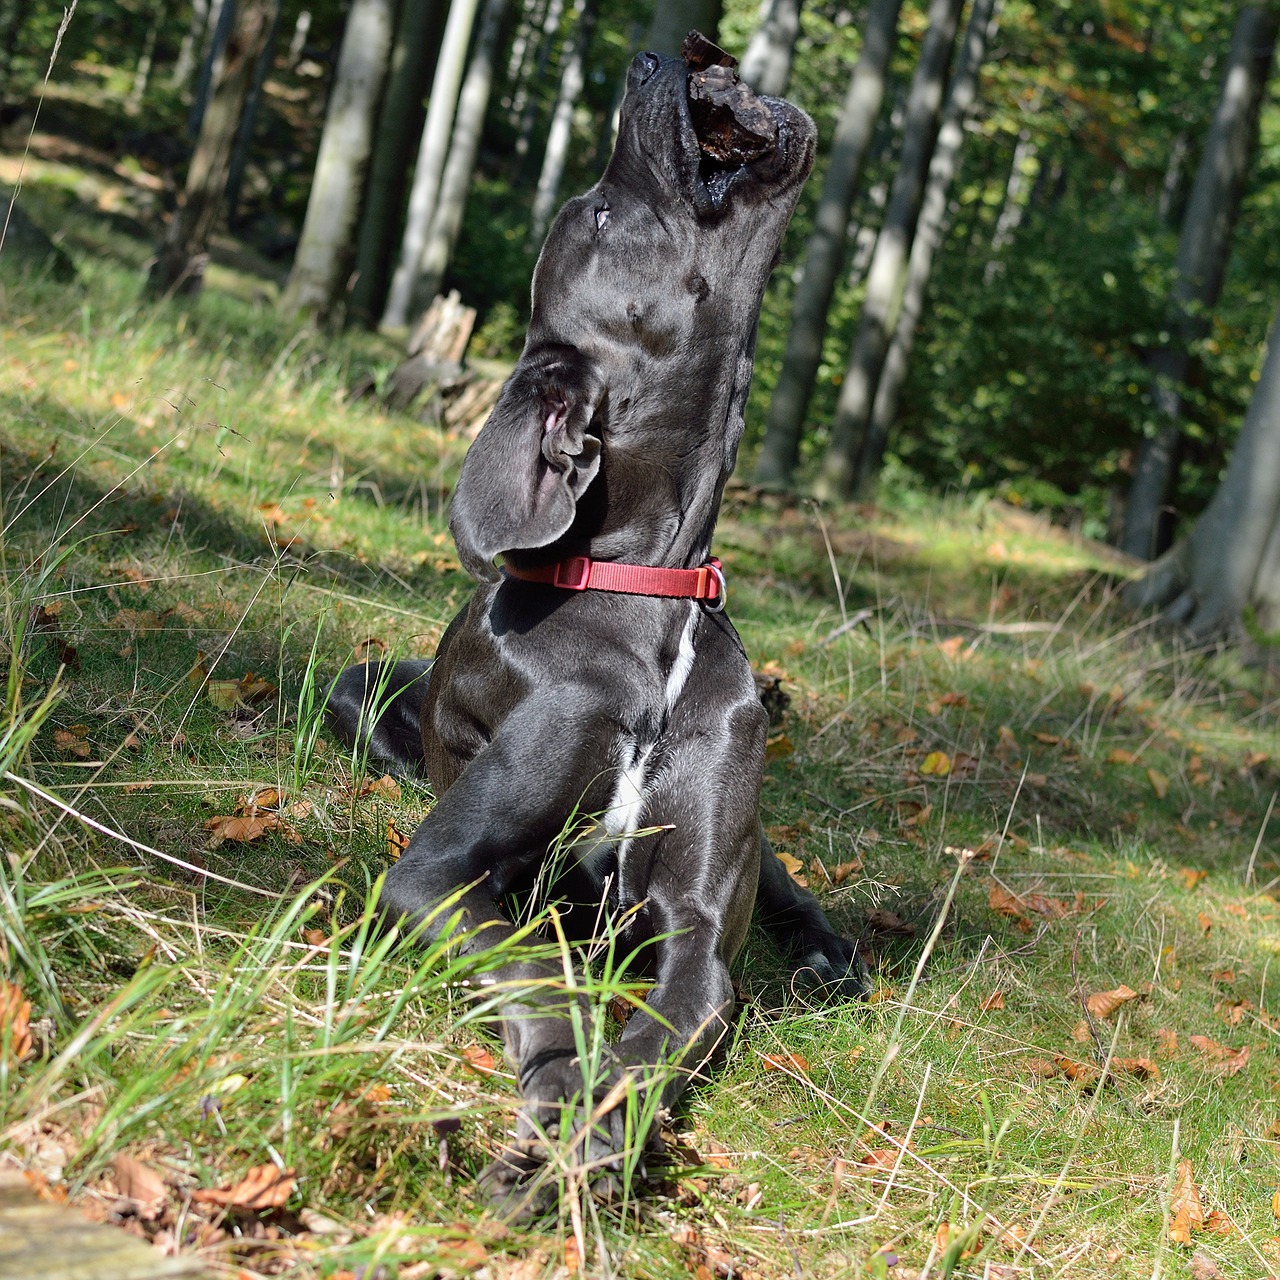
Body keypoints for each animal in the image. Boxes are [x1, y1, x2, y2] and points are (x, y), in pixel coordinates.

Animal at [327, 35, 870, 1203]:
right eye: (605, 216)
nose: (661, 54)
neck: (650, 602)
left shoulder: (700, 932)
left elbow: (664, 1026)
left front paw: (595, 1125)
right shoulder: (433, 871)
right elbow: (538, 965)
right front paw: (555, 1096)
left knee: (792, 891)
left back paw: (828, 951)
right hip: (360, 693)